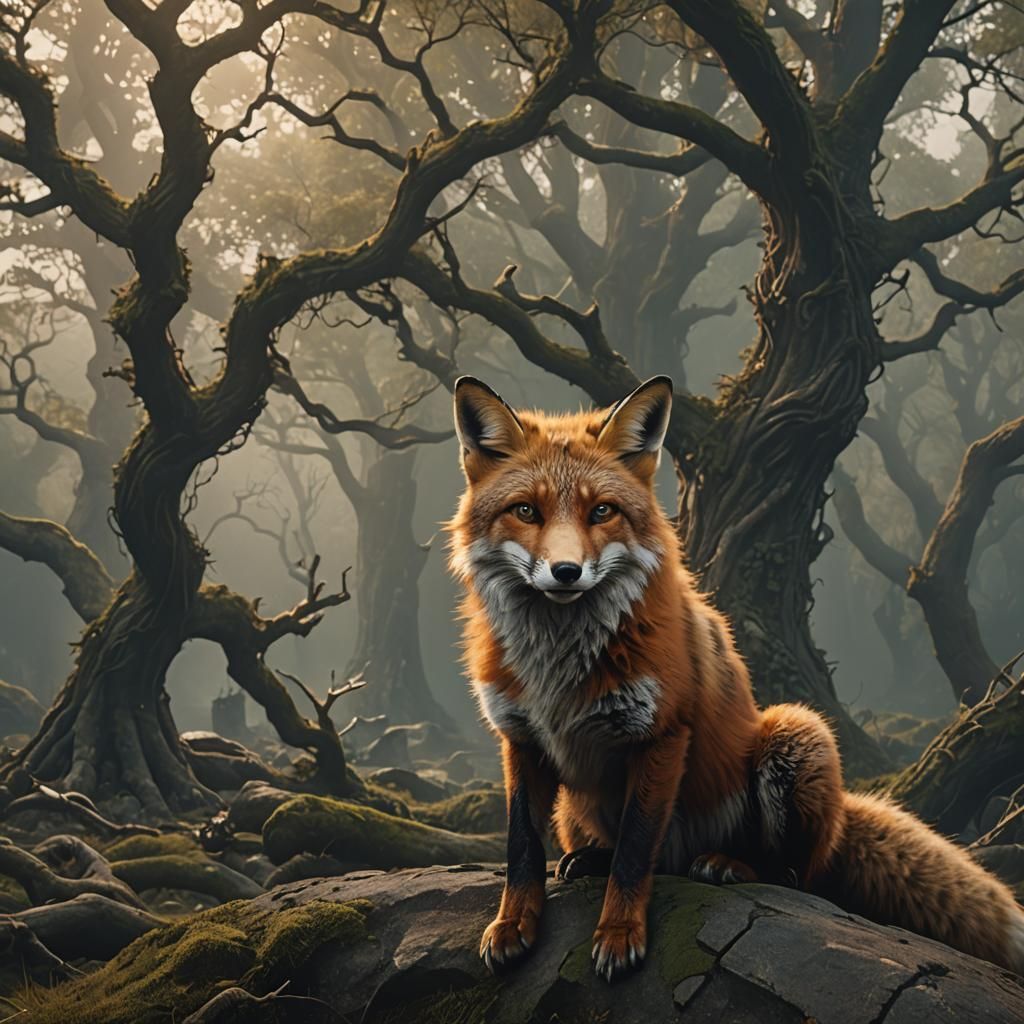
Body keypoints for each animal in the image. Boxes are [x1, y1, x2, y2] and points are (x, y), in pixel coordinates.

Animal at [448, 373, 1024, 983]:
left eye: (602, 511)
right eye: (526, 511)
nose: (566, 572)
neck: (556, 666)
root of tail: (842, 817)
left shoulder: (662, 733)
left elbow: (635, 852)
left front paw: (620, 934)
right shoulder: (519, 739)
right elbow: (522, 848)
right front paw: (512, 926)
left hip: (793, 735)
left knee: (791, 876)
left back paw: (729, 864)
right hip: (574, 810)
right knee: (632, 853)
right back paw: (588, 859)